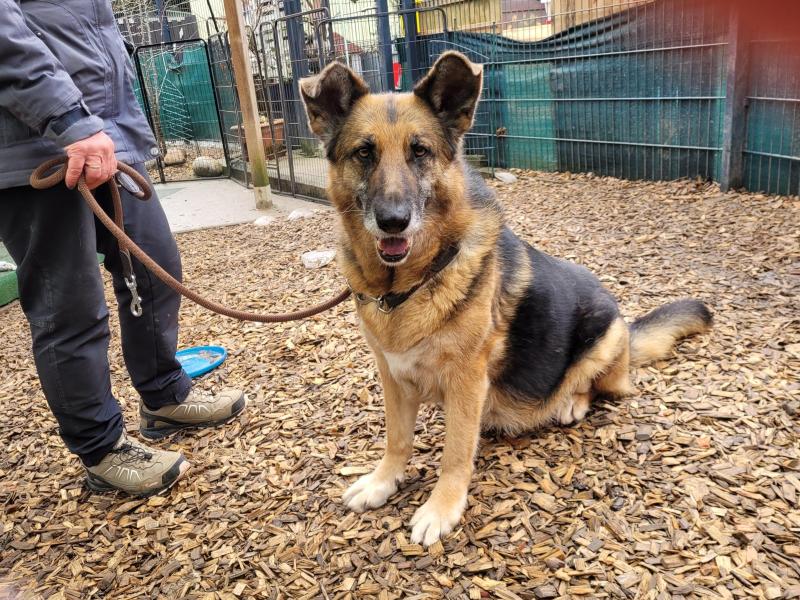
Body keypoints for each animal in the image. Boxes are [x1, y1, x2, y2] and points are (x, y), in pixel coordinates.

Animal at [300, 51, 712, 546]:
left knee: (597, 386)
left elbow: (456, 452)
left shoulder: (466, 380)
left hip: (604, 337)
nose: (394, 221)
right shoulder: (392, 376)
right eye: (364, 152)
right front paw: (383, 481)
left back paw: (570, 401)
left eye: (420, 151)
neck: (406, 286)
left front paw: (441, 507)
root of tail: (627, 332)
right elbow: (397, 438)